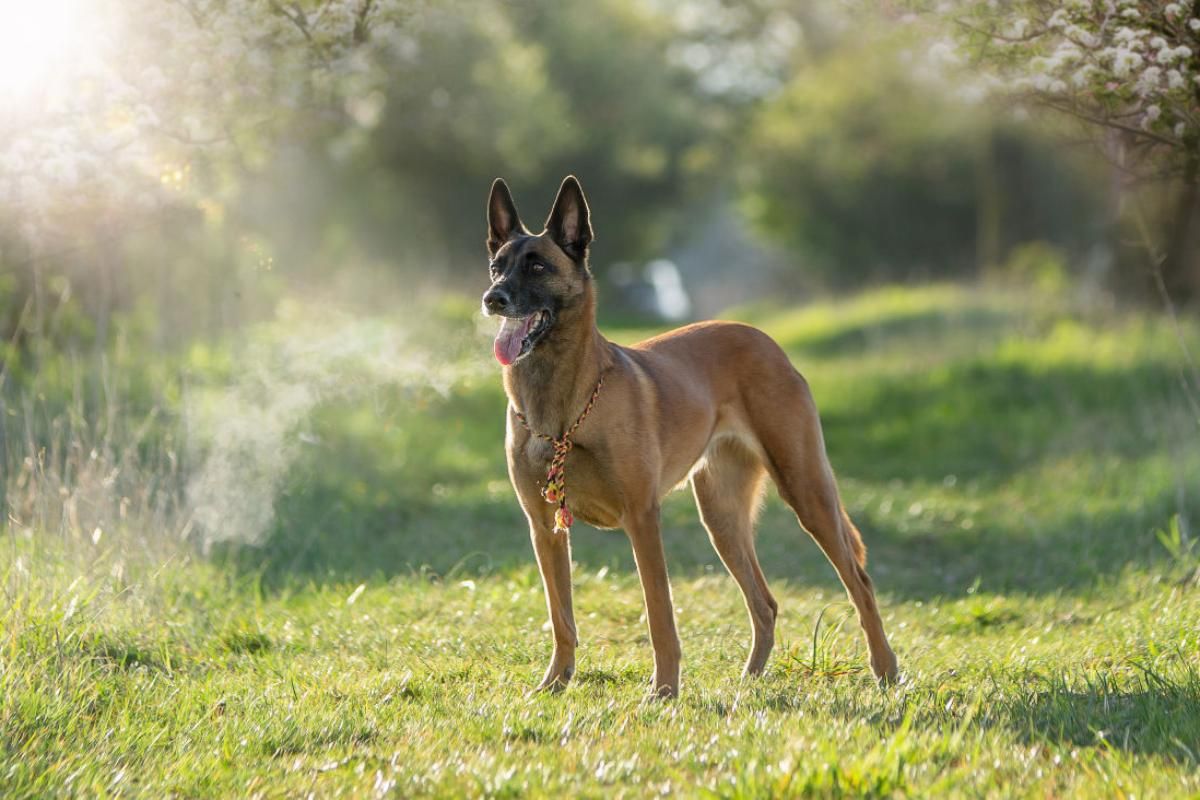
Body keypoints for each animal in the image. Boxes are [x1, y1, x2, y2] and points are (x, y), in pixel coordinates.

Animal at [482, 173, 897, 695]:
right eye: (496, 266)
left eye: (537, 265)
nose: (492, 298)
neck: (561, 408)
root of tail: (763, 339)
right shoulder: (545, 528)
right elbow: (562, 619)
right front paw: (555, 684)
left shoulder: (642, 519)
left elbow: (659, 615)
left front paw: (663, 691)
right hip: (721, 518)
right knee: (765, 602)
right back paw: (749, 681)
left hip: (806, 492)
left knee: (859, 582)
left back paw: (886, 671)